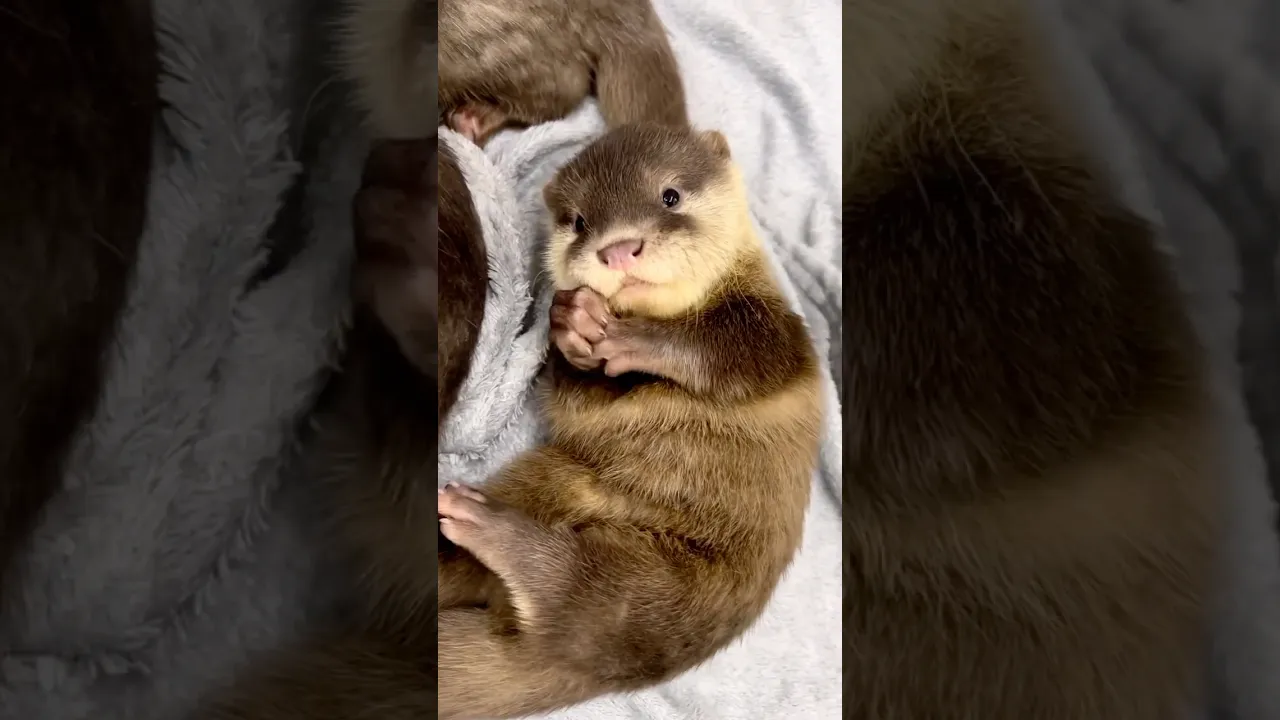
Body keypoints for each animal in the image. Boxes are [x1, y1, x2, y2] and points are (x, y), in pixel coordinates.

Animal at [435, 123, 824, 719]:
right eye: (578, 221)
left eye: (670, 195)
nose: (618, 249)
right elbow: (581, 402)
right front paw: (572, 324)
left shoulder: (780, 338)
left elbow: (726, 352)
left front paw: (634, 339)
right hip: (551, 483)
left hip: (665, 594)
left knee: (582, 600)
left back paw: (489, 525)